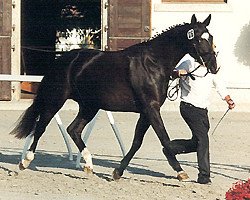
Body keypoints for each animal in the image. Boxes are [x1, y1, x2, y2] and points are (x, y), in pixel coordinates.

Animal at [10, 14, 218, 181]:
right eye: (199, 39)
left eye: (211, 37)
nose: (214, 66)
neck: (154, 63)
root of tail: (62, 60)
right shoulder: (151, 108)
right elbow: (164, 139)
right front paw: (180, 169)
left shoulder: (146, 111)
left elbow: (136, 143)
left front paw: (117, 172)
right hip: (56, 100)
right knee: (41, 126)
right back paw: (24, 163)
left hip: (89, 106)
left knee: (73, 130)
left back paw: (89, 166)